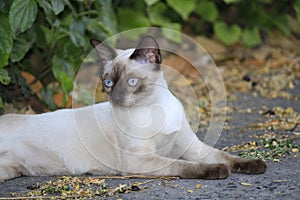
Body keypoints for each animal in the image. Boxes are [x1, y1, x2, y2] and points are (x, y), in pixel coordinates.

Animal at [0, 35, 268, 181]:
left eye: (131, 82)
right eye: (108, 82)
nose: (116, 99)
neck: (154, 108)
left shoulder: (192, 147)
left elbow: (227, 156)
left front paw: (255, 165)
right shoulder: (142, 160)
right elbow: (186, 166)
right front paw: (217, 171)